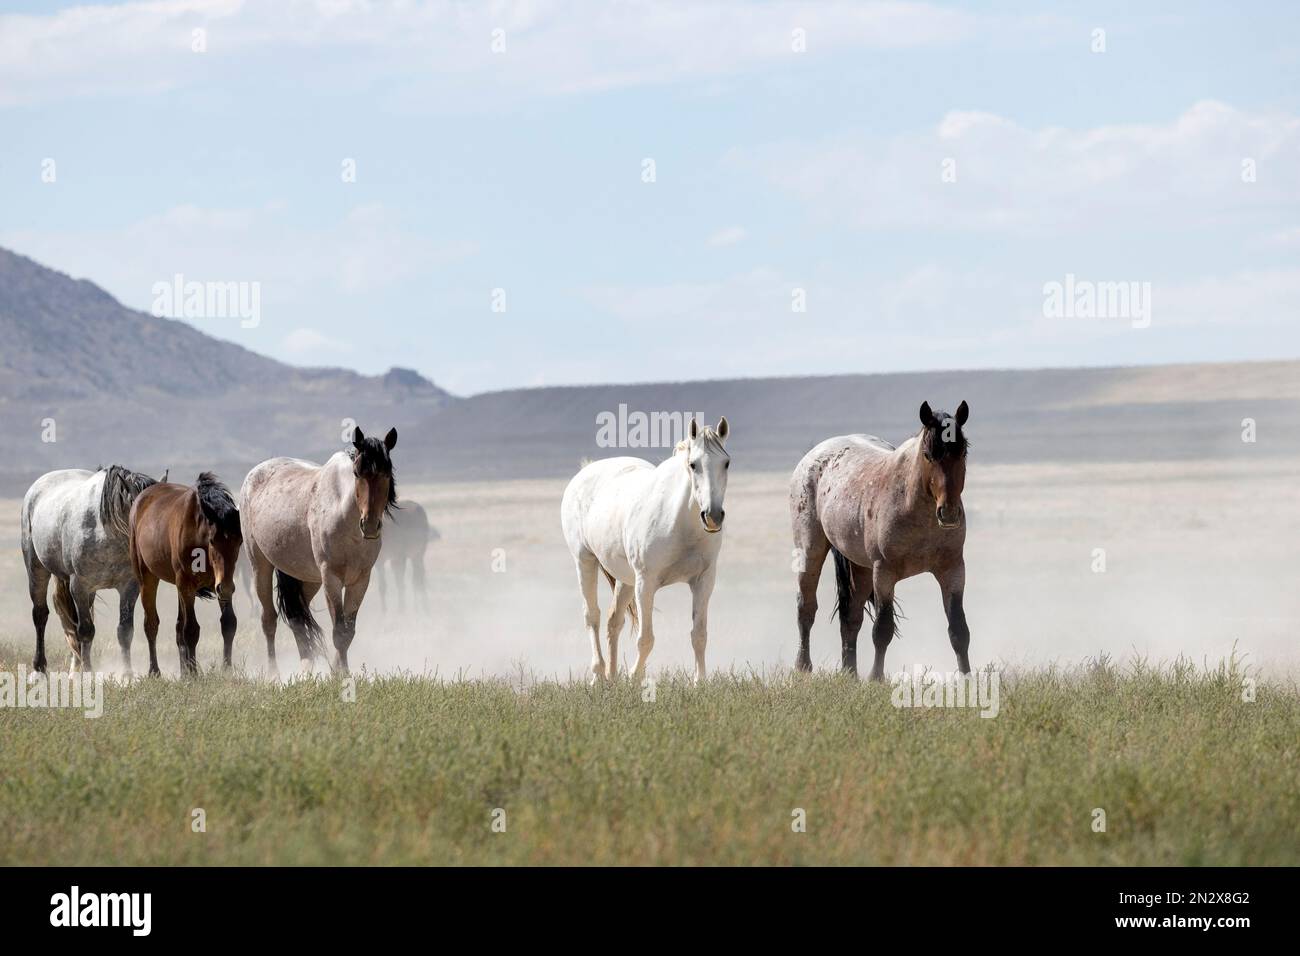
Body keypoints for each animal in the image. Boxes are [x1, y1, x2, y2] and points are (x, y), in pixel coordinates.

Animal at [20, 465, 159, 671]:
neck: (106, 534)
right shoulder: (79, 586)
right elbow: (86, 630)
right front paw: (88, 673)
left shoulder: (129, 587)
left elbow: (124, 631)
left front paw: (127, 674)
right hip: (37, 570)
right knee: (40, 615)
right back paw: (39, 668)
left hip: (89, 592)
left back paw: (74, 669)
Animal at [127, 476, 244, 676]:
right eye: (212, 540)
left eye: (240, 540)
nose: (226, 587)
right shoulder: (187, 585)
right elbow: (190, 630)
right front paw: (195, 674)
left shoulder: (219, 585)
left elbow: (228, 623)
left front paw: (226, 669)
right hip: (147, 578)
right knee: (151, 624)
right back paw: (154, 671)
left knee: (178, 628)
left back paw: (184, 671)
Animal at [240, 426, 395, 671]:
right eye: (357, 473)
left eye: (387, 474)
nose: (370, 525)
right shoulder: (331, 577)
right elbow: (339, 632)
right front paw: (342, 675)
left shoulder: (361, 579)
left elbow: (348, 632)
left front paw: (337, 671)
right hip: (260, 566)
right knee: (269, 620)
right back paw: (274, 673)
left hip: (308, 578)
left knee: (297, 618)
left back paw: (306, 669)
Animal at [564, 416, 738, 681]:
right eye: (693, 464)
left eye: (726, 463)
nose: (713, 516)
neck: (679, 522)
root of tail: (586, 471)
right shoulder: (646, 583)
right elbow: (645, 639)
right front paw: (634, 679)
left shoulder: (703, 581)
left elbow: (699, 635)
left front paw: (699, 681)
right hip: (585, 561)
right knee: (592, 616)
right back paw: (599, 675)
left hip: (625, 579)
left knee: (614, 621)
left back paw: (612, 678)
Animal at [785, 403, 972, 681]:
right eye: (928, 455)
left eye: (962, 452)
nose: (948, 513)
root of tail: (812, 456)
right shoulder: (884, 572)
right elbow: (882, 629)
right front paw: (876, 678)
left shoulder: (952, 569)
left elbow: (959, 629)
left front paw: (967, 678)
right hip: (811, 551)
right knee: (806, 608)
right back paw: (803, 667)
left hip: (860, 567)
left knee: (851, 617)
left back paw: (850, 673)